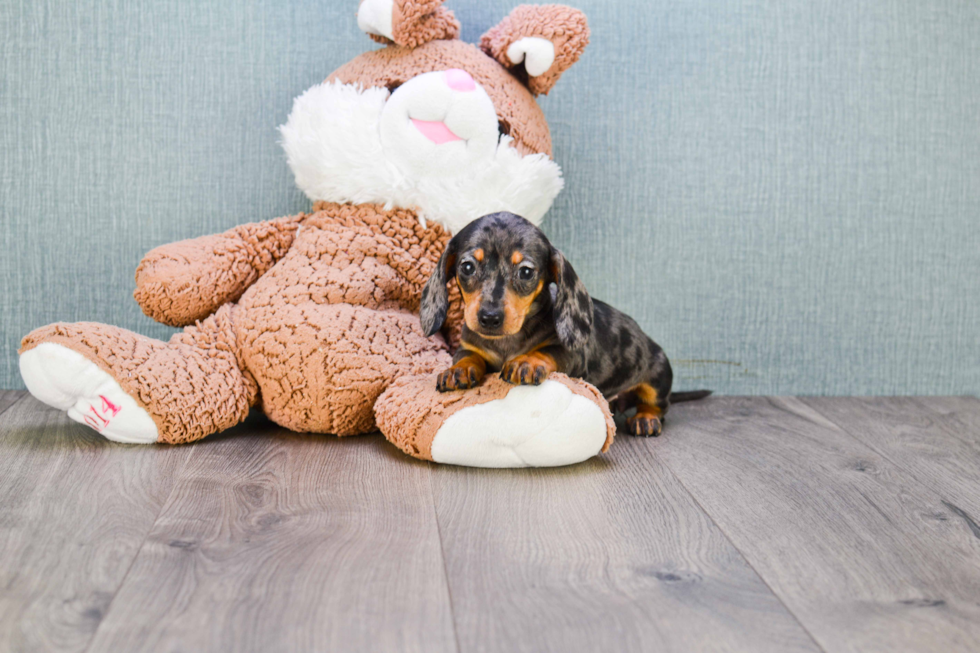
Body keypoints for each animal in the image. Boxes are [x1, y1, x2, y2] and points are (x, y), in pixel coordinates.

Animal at [418, 214, 708, 436]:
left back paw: (646, 419)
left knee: (658, 406)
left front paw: (526, 361)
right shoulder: (468, 346)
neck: (507, 342)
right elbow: (467, 356)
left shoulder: (574, 356)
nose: (489, 317)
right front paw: (459, 370)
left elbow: (547, 351)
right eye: (467, 267)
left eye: (526, 271)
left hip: (658, 375)